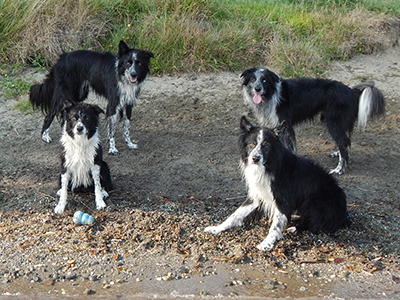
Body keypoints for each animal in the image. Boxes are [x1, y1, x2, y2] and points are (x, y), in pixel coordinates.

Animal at [205, 116, 348, 251]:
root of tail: (343, 214)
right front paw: (216, 228)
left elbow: (275, 225)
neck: (268, 166)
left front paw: (267, 243)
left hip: (314, 201)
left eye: (266, 146)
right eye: (251, 143)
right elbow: (235, 214)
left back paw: (295, 228)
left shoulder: (283, 200)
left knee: (313, 224)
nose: (255, 158)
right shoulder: (256, 196)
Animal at [241, 66, 384, 172]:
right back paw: (337, 154)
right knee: (346, 141)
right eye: (253, 79)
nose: (257, 88)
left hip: (333, 122)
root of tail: (351, 91)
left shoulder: (286, 125)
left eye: (264, 80)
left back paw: (339, 169)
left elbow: (289, 147)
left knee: (343, 143)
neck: (271, 94)